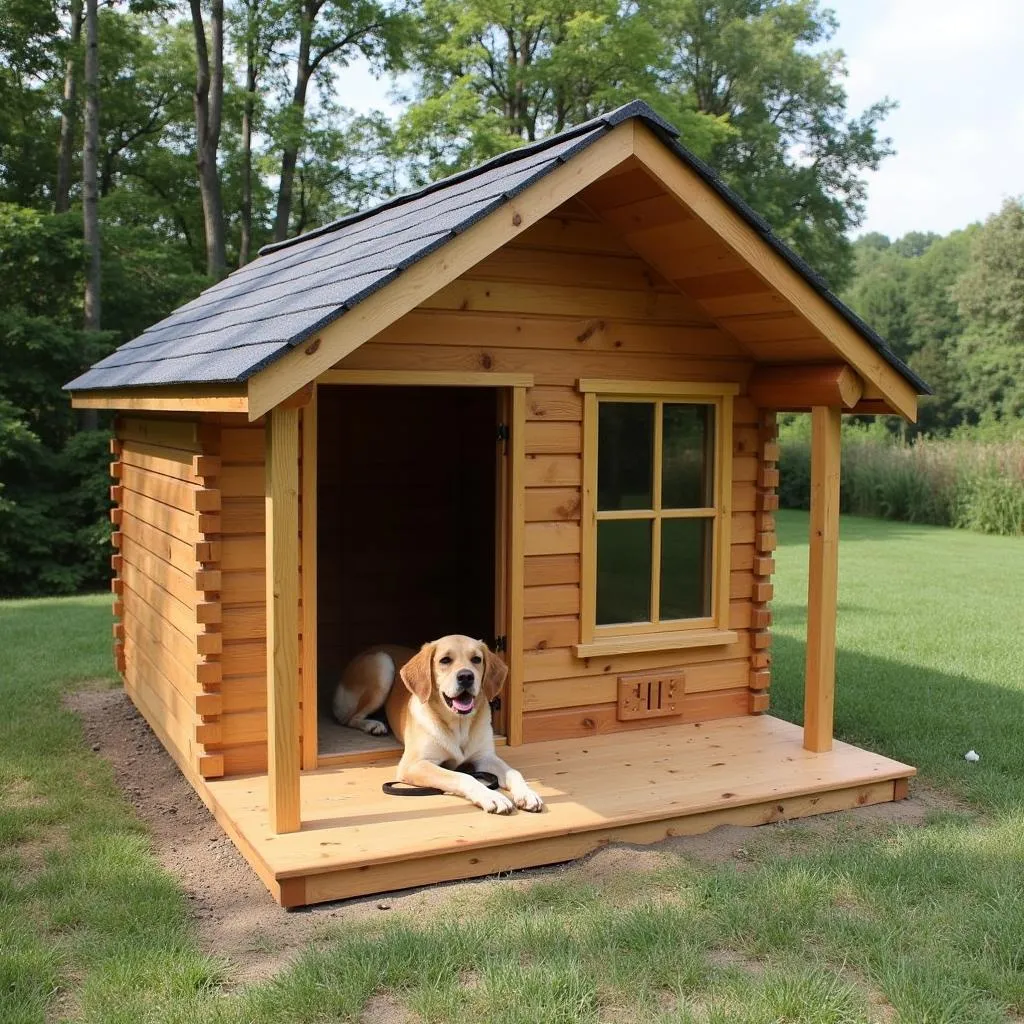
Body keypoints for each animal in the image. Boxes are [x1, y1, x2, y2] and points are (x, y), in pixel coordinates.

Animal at [333, 630, 544, 815]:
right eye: (445, 660)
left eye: (476, 659)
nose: (466, 676)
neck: (459, 725)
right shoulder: (415, 764)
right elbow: (464, 776)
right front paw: (492, 796)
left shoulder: (485, 757)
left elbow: (513, 772)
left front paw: (527, 793)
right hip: (383, 665)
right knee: (348, 718)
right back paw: (373, 725)